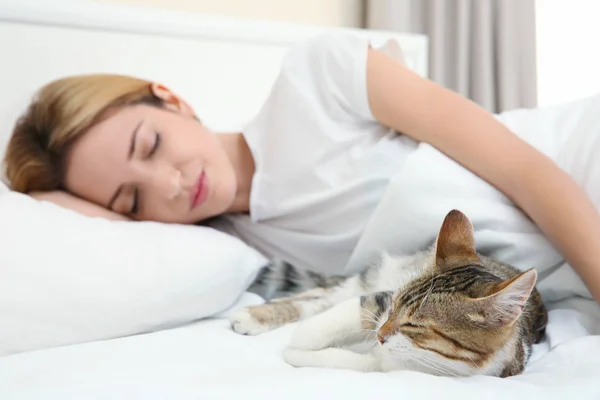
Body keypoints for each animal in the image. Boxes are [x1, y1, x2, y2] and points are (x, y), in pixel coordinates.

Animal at [231, 209, 548, 378]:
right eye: (394, 307)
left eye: (415, 326)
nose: (381, 335)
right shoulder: (380, 298)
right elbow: (327, 323)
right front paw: (299, 341)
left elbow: (359, 364)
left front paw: (300, 353)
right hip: (370, 281)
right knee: (324, 295)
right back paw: (255, 315)